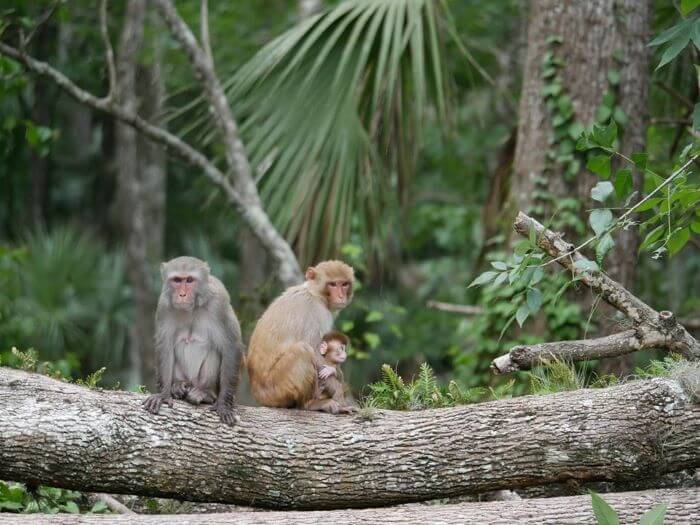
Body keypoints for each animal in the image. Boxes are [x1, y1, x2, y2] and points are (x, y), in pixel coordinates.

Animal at [142, 256, 243, 425]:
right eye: (177, 280)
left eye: (189, 280)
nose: (182, 295)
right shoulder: (164, 305)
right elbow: (165, 346)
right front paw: (163, 394)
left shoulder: (220, 302)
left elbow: (231, 346)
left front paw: (223, 404)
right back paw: (177, 386)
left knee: (215, 351)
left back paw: (205, 393)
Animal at [246, 260, 355, 409]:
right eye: (333, 284)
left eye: (344, 284)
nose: (341, 296)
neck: (313, 293)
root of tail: (258, 394)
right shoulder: (318, 313)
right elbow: (317, 352)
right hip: (276, 389)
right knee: (303, 350)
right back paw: (309, 404)